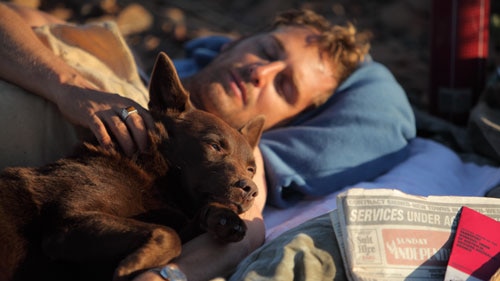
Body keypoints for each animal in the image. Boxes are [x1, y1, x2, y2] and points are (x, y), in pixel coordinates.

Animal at [0, 52, 266, 280]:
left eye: (251, 169)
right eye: (214, 146)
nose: (251, 189)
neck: (152, 175)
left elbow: (180, 228)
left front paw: (223, 218)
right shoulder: (66, 223)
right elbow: (167, 234)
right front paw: (132, 266)